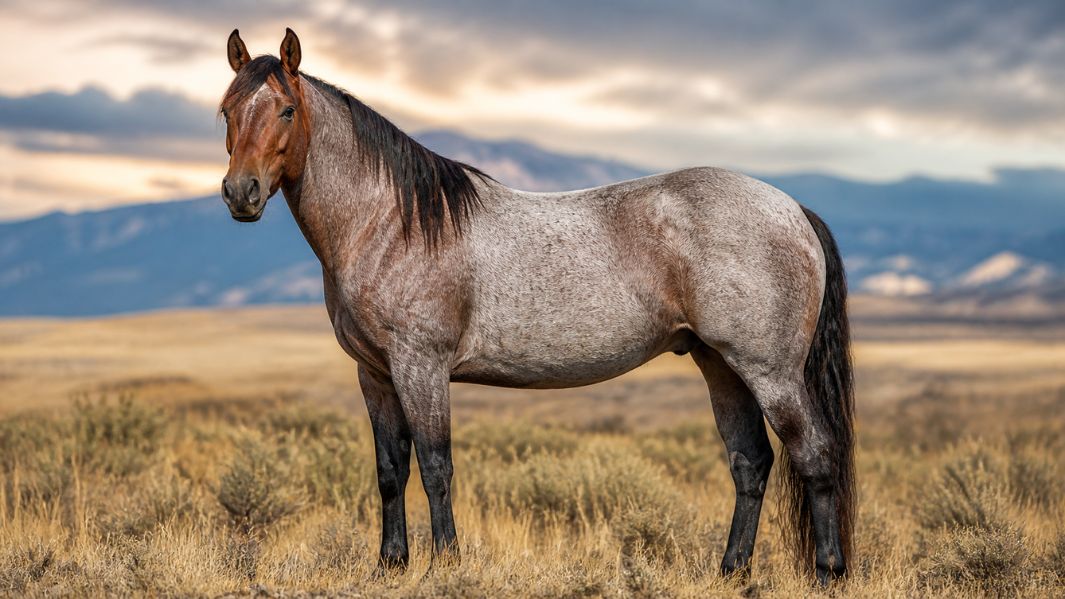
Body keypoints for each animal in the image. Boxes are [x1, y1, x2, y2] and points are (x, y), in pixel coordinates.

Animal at [219, 28, 855, 585]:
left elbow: (436, 466)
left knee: (815, 455)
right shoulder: (374, 374)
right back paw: (730, 571)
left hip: (770, 371)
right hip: (720, 365)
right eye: (226, 111)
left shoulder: (421, 367)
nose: (240, 193)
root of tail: (792, 209)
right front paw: (390, 565)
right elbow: (390, 470)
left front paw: (445, 564)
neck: (392, 223)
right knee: (751, 463)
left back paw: (828, 572)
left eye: (286, 111)